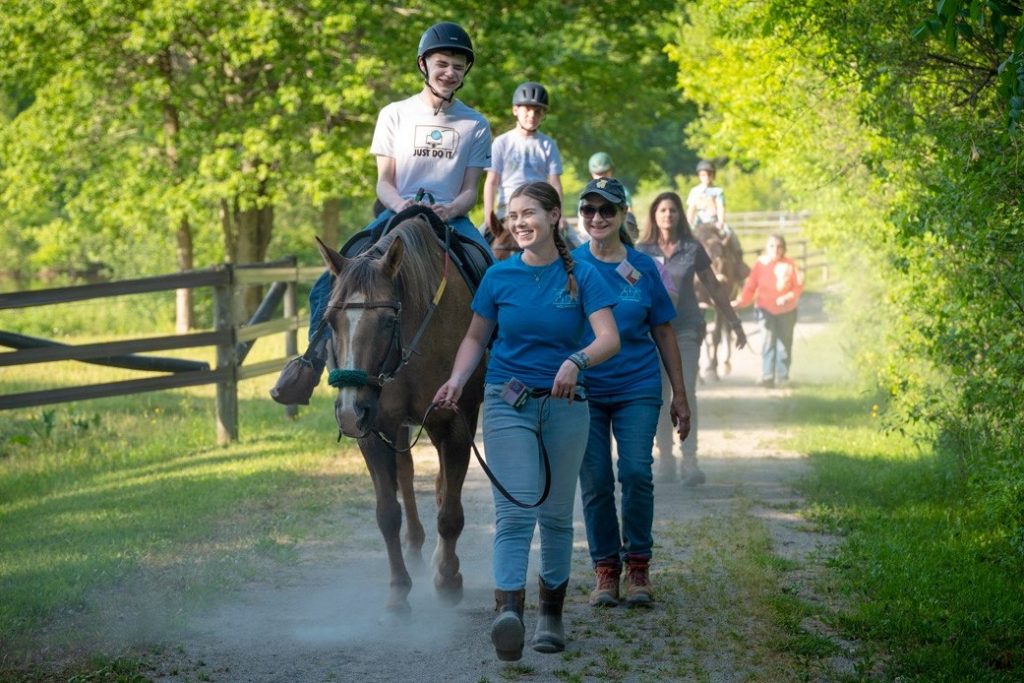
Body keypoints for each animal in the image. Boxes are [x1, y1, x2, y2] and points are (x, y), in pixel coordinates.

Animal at [315, 209, 483, 614]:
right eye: (330, 321)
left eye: (388, 321)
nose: (348, 411)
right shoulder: (373, 432)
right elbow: (387, 514)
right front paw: (397, 591)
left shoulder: (455, 425)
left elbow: (450, 512)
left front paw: (449, 580)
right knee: (407, 476)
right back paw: (416, 547)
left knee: (441, 487)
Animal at [692, 225, 749, 382]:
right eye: (707, 260)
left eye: (723, 260)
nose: (721, 281)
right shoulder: (698, 303)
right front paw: (698, 372)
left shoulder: (719, 304)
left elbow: (716, 335)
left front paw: (712, 370)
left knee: (727, 330)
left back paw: (725, 364)